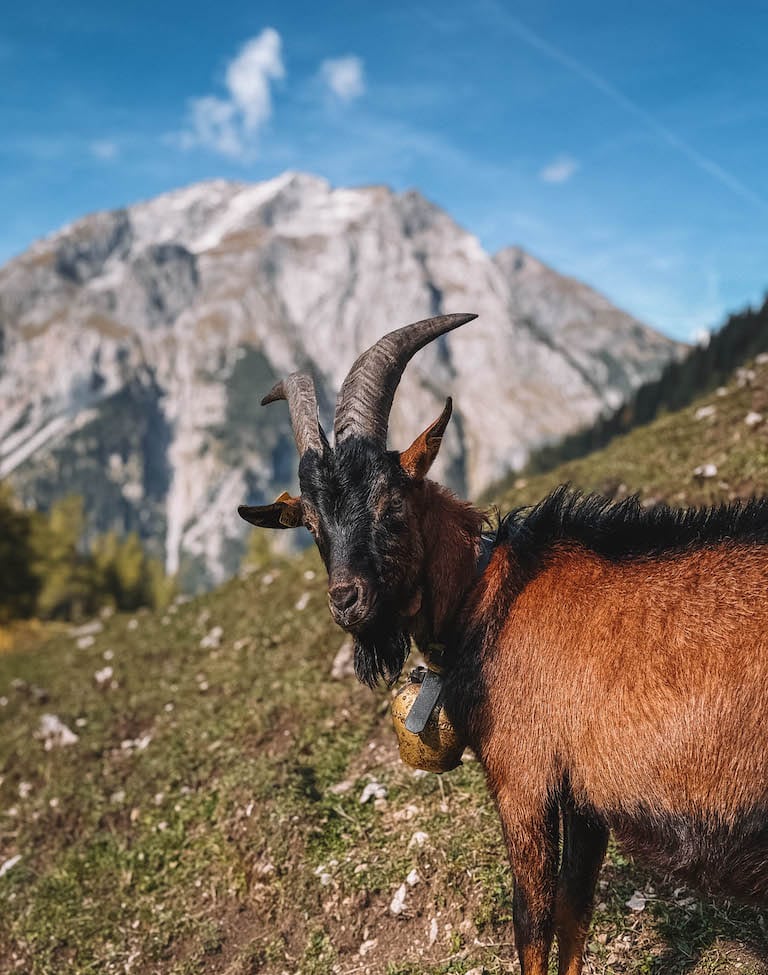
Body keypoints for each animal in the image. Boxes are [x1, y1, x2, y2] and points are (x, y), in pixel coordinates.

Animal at [239, 313, 768, 975]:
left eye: (391, 503)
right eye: (311, 524)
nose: (347, 600)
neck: (491, 588)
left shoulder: (526, 778)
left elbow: (532, 923)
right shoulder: (585, 796)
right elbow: (574, 912)